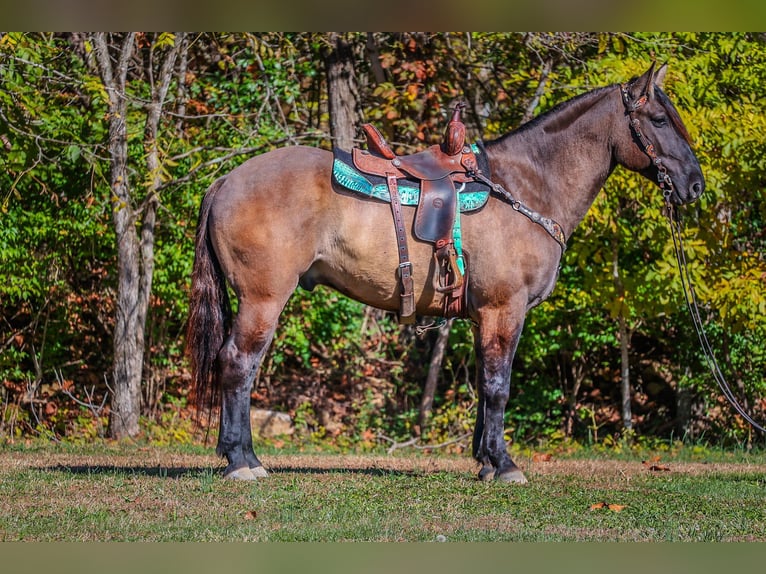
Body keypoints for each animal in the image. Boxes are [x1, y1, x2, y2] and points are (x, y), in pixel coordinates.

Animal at [186, 63, 704, 483]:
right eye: (660, 120)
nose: (695, 185)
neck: (525, 186)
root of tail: (226, 180)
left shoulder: (483, 317)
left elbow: (485, 385)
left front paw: (486, 460)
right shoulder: (503, 310)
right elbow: (498, 387)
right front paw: (505, 465)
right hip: (263, 300)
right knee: (238, 363)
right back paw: (242, 463)